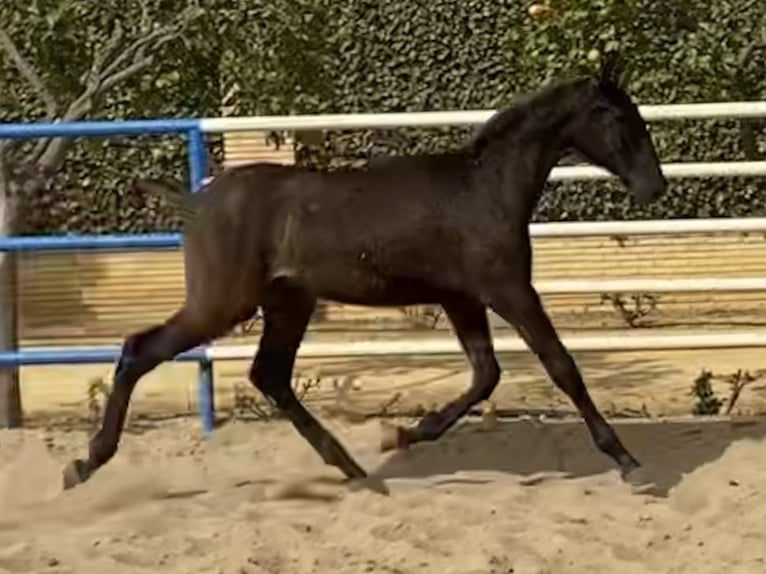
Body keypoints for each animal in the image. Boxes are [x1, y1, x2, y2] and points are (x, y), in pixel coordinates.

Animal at [63, 60, 668, 492]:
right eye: (619, 117)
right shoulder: (508, 290)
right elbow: (561, 366)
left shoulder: (462, 298)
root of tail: (196, 202)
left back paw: (353, 469)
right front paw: (628, 461)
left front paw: (402, 432)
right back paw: (84, 463)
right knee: (141, 350)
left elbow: (485, 374)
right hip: (222, 302)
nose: (654, 186)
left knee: (270, 376)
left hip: (288, 303)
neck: (483, 188)